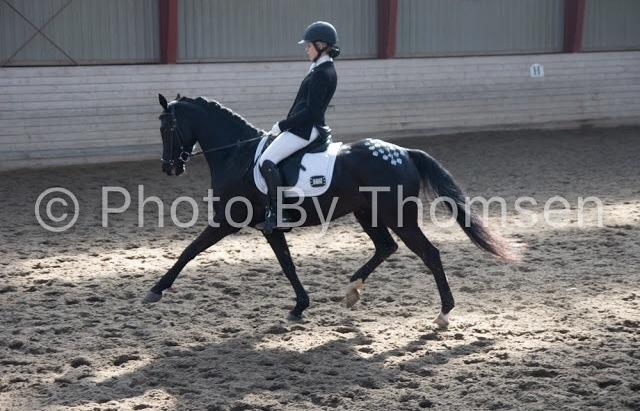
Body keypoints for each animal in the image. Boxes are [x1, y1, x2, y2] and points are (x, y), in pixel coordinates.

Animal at [144, 94, 518, 326]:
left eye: (166, 127)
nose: (168, 168)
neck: (237, 154)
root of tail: (405, 153)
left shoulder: (227, 221)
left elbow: (189, 251)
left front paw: (156, 290)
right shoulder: (270, 228)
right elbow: (287, 265)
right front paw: (299, 306)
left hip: (397, 216)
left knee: (429, 253)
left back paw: (443, 313)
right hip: (367, 214)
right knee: (386, 247)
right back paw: (352, 290)